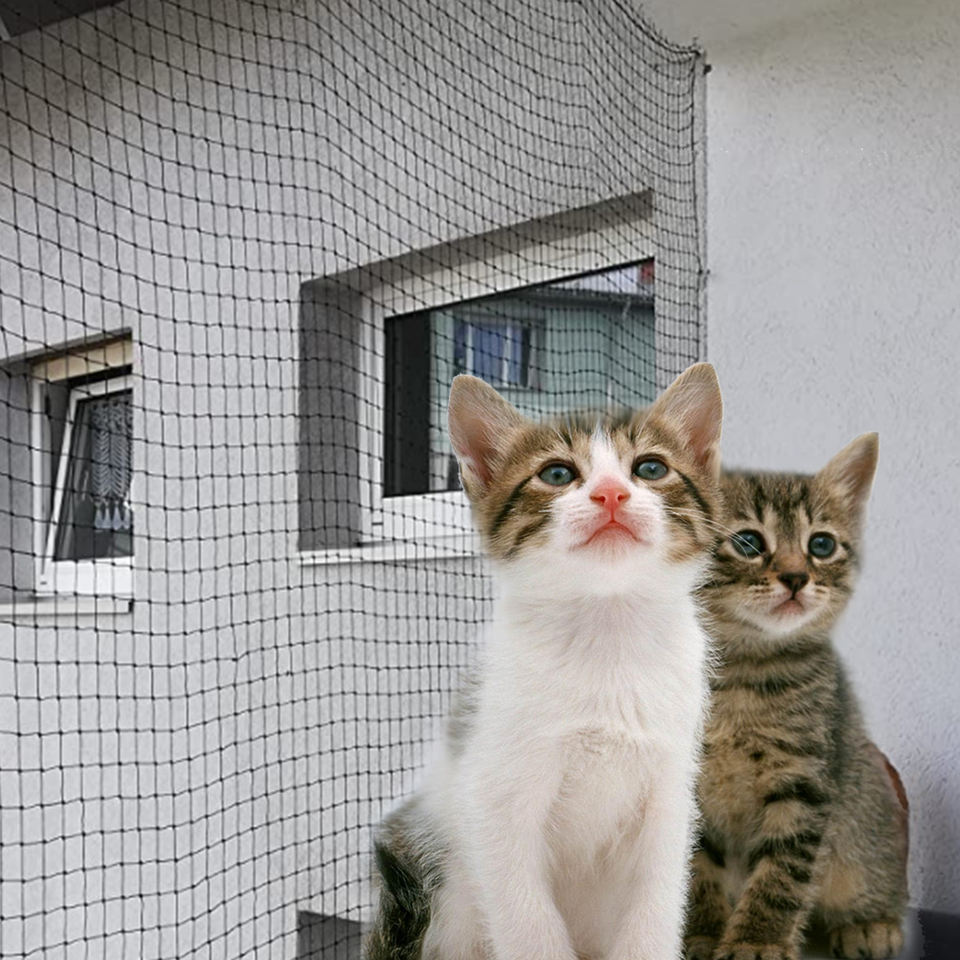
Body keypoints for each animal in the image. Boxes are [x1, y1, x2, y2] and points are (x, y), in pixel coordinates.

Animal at [365, 363, 725, 960]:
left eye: (650, 468)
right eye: (556, 473)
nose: (610, 493)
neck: (606, 638)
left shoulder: (670, 798)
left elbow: (653, 913)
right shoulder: (494, 799)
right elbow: (529, 924)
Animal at [685, 434, 909, 960]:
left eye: (821, 545)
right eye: (748, 542)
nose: (795, 577)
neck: (741, 677)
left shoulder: (806, 780)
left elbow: (782, 873)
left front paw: (756, 939)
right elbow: (698, 869)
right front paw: (703, 933)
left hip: (864, 821)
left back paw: (871, 925)